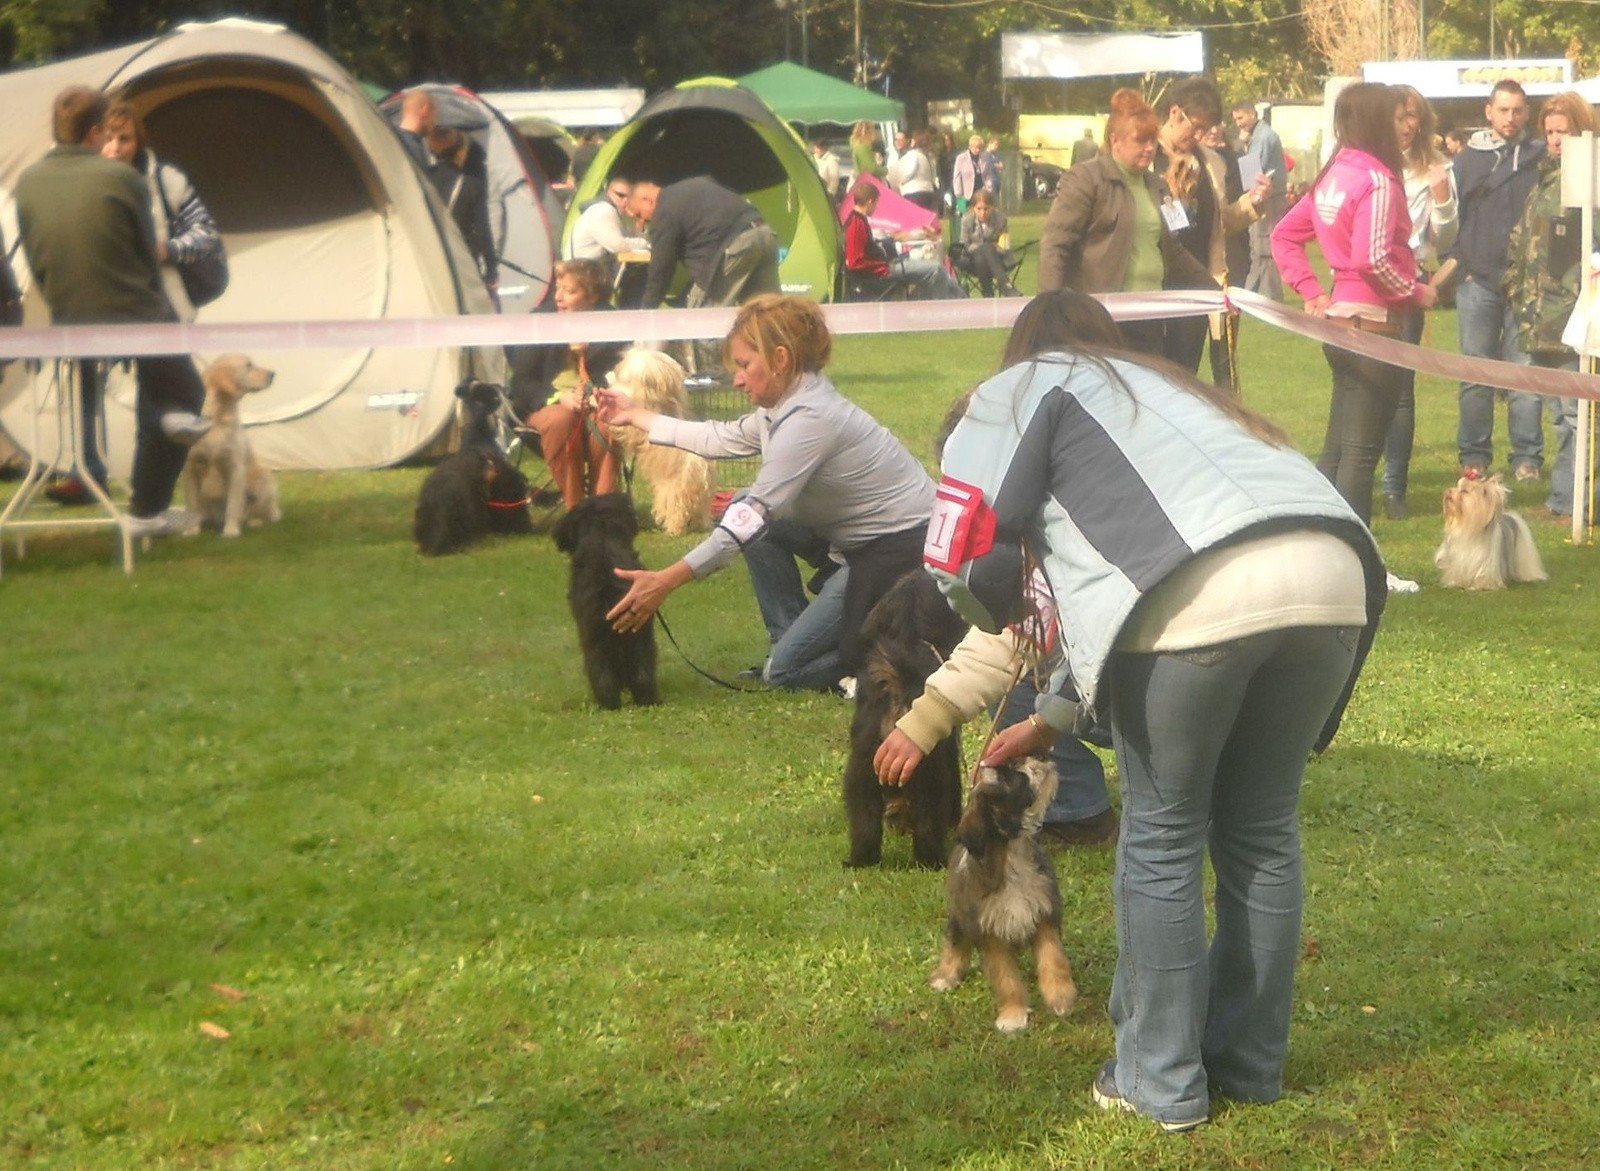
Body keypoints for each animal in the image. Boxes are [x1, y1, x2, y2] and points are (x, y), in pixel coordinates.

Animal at [187, 351, 284, 534]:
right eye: (248, 365)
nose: (273, 374)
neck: (217, 416)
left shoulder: (234, 467)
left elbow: (232, 504)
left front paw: (231, 531)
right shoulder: (191, 468)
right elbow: (193, 505)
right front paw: (191, 531)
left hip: (263, 478)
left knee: (267, 513)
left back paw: (255, 521)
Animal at [544, 492, 656, 710]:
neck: (602, 536)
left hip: (595, 641)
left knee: (601, 674)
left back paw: (607, 703)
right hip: (640, 633)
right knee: (642, 671)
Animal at [844, 566, 966, 870]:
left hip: (862, 774)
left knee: (864, 825)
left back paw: (860, 861)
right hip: (929, 776)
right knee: (928, 824)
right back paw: (934, 861)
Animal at [934, 755, 1081, 1030]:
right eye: (1009, 776)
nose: (1041, 759)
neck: (1013, 853)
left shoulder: (1043, 912)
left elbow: (1053, 957)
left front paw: (1060, 996)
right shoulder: (989, 933)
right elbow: (1006, 977)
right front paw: (1013, 1014)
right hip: (959, 915)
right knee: (955, 940)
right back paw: (945, 975)